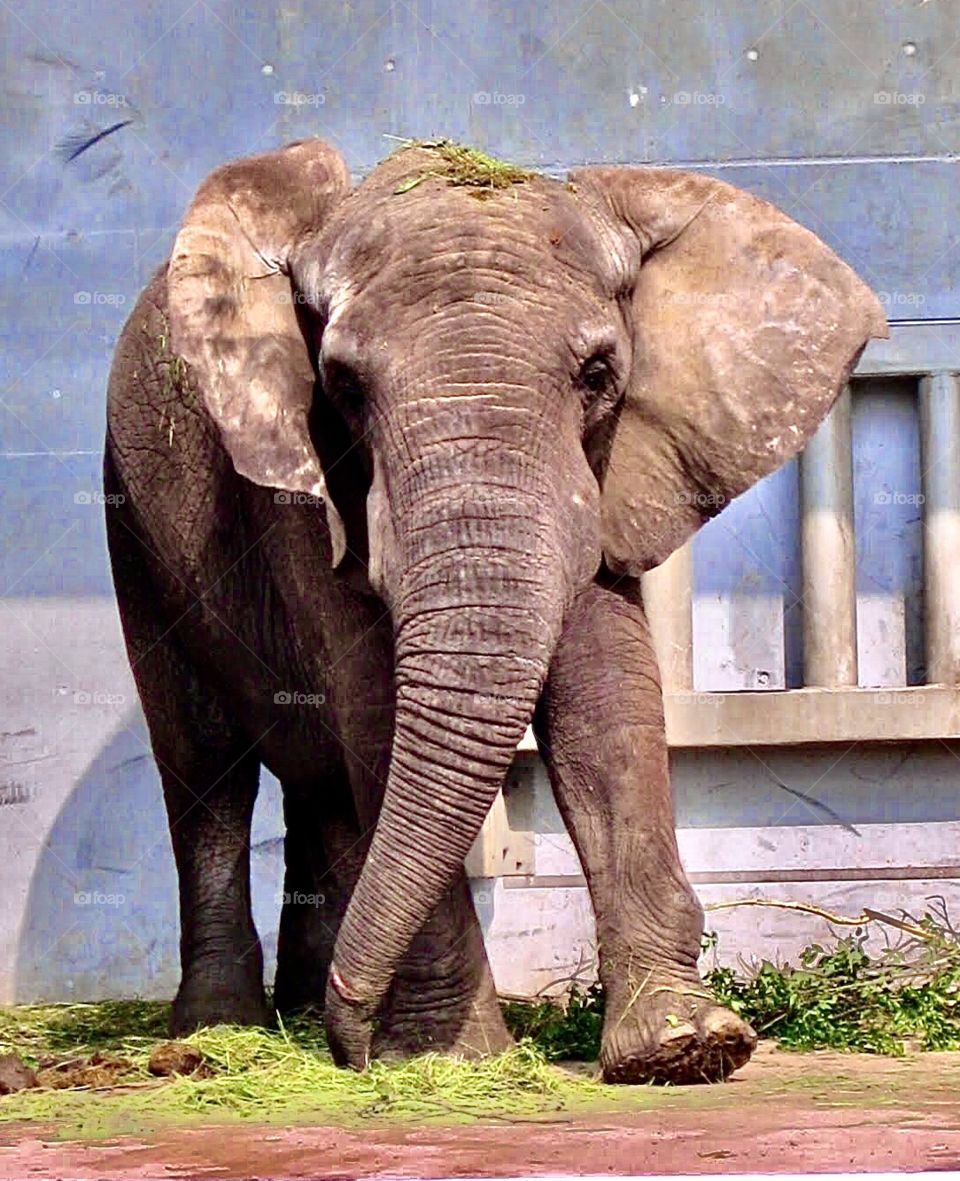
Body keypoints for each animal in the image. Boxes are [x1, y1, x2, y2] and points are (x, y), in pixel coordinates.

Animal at [104, 137, 886, 1085]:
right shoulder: (303, 485)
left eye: (599, 374)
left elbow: (607, 697)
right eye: (343, 385)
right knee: (205, 761)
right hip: (134, 527)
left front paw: (684, 1047)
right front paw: (451, 1057)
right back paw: (227, 1028)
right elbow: (376, 705)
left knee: (318, 785)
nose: (352, 1045)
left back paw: (306, 1008)